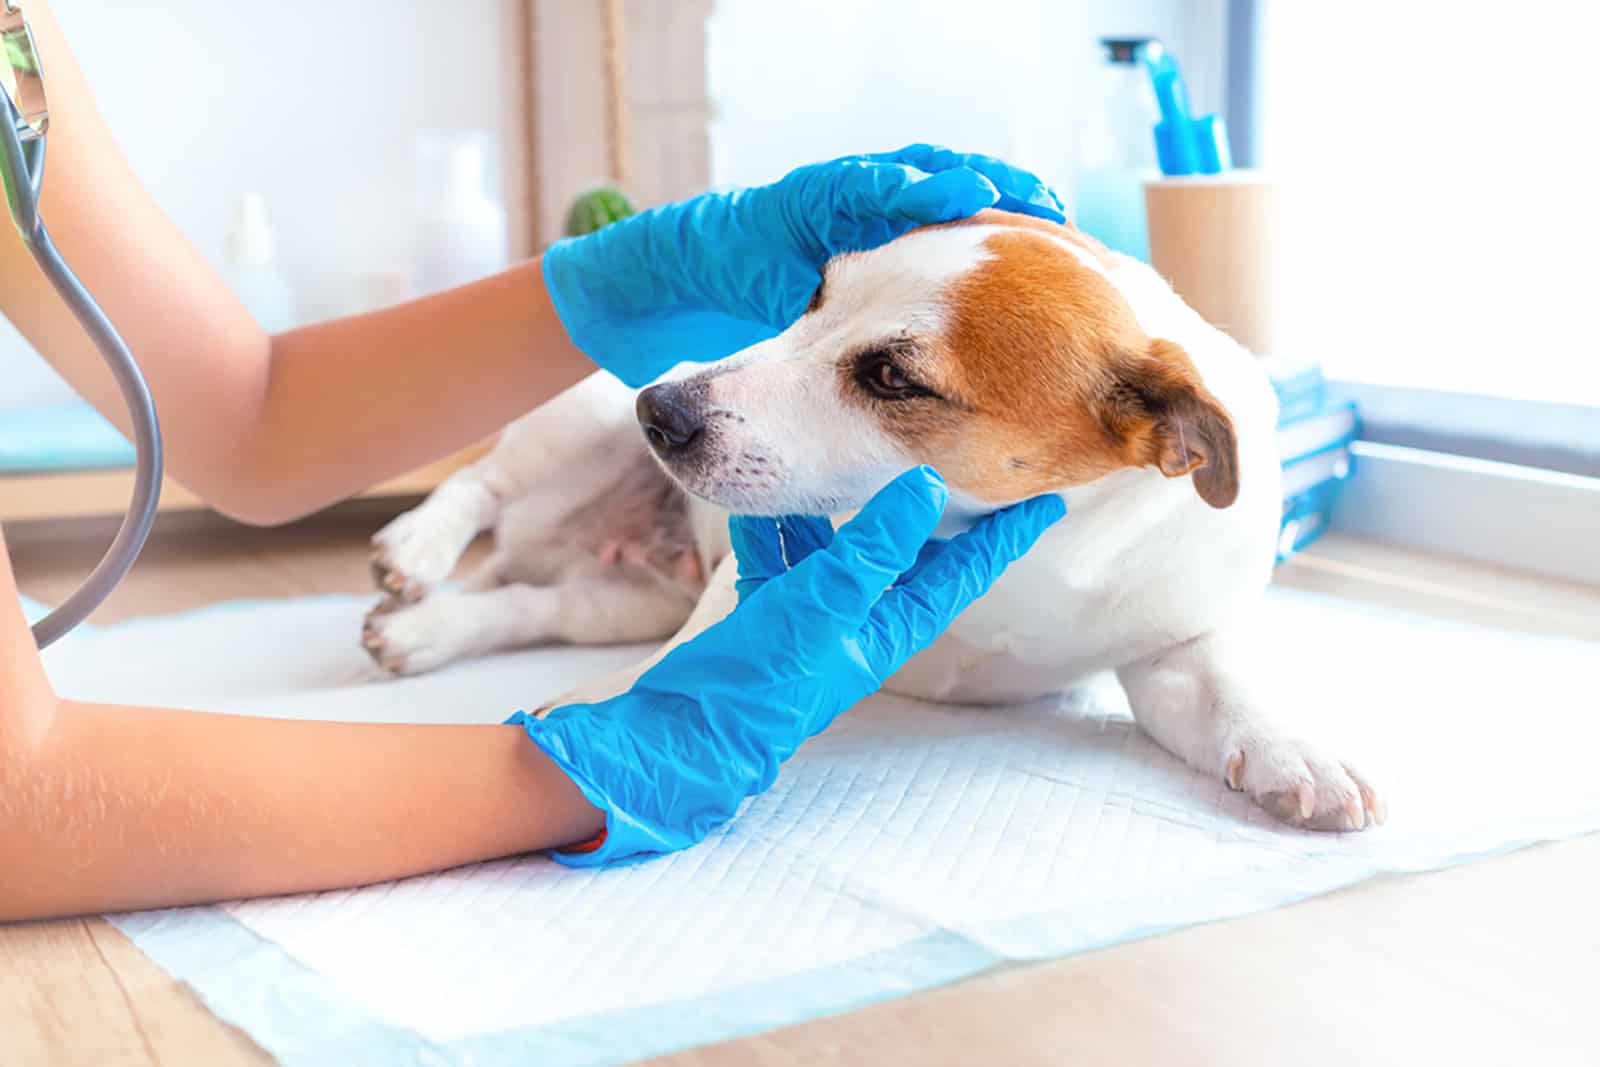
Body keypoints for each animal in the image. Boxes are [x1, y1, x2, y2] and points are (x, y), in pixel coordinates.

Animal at [363, 211, 1388, 831]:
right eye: (814, 296)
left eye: (894, 375)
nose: (662, 410)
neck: (1024, 551)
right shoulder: (755, 573)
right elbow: (699, 652)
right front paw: (630, 720)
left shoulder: (1173, 649)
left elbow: (1229, 692)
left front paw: (1296, 748)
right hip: (575, 422)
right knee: (483, 487)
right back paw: (418, 549)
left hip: (617, 594)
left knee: (528, 603)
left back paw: (428, 627)